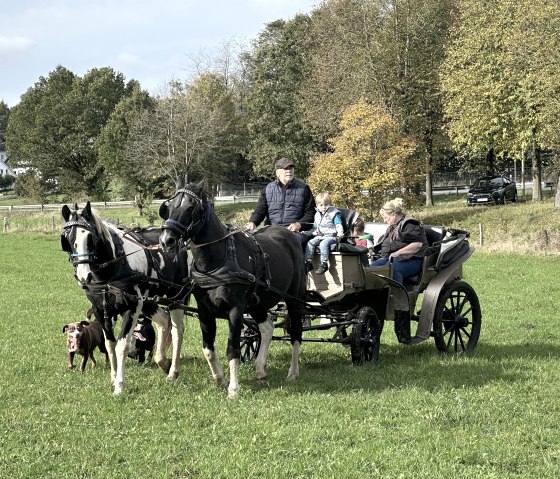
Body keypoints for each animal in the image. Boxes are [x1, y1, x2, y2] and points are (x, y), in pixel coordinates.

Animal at [60, 202, 189, 394]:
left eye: (90, 237)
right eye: (67, 238)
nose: (84, 276)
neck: (112, 268)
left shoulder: (132, 308)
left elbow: (122, 345)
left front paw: (119, 385)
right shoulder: (100, 310)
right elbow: (110, 345)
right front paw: (113, 378)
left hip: (176, 298)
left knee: (177, 330)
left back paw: (173, 370)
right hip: (149, 302)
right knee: (163, 322)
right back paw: (162, 361)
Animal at [158, 182, 306, 400]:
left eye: (191, 207)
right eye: (168, 206)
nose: (166, 240)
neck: (216, 262)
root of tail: (288, 234)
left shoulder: (236, 310)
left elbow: (232, 348)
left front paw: (234, 388)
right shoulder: (204, 310)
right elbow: (208, 348)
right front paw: (220, 379)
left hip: (294, 300)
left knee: (296, 333)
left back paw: (293, 372)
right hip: (257, 304)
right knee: (267, 328)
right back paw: (260, 369)